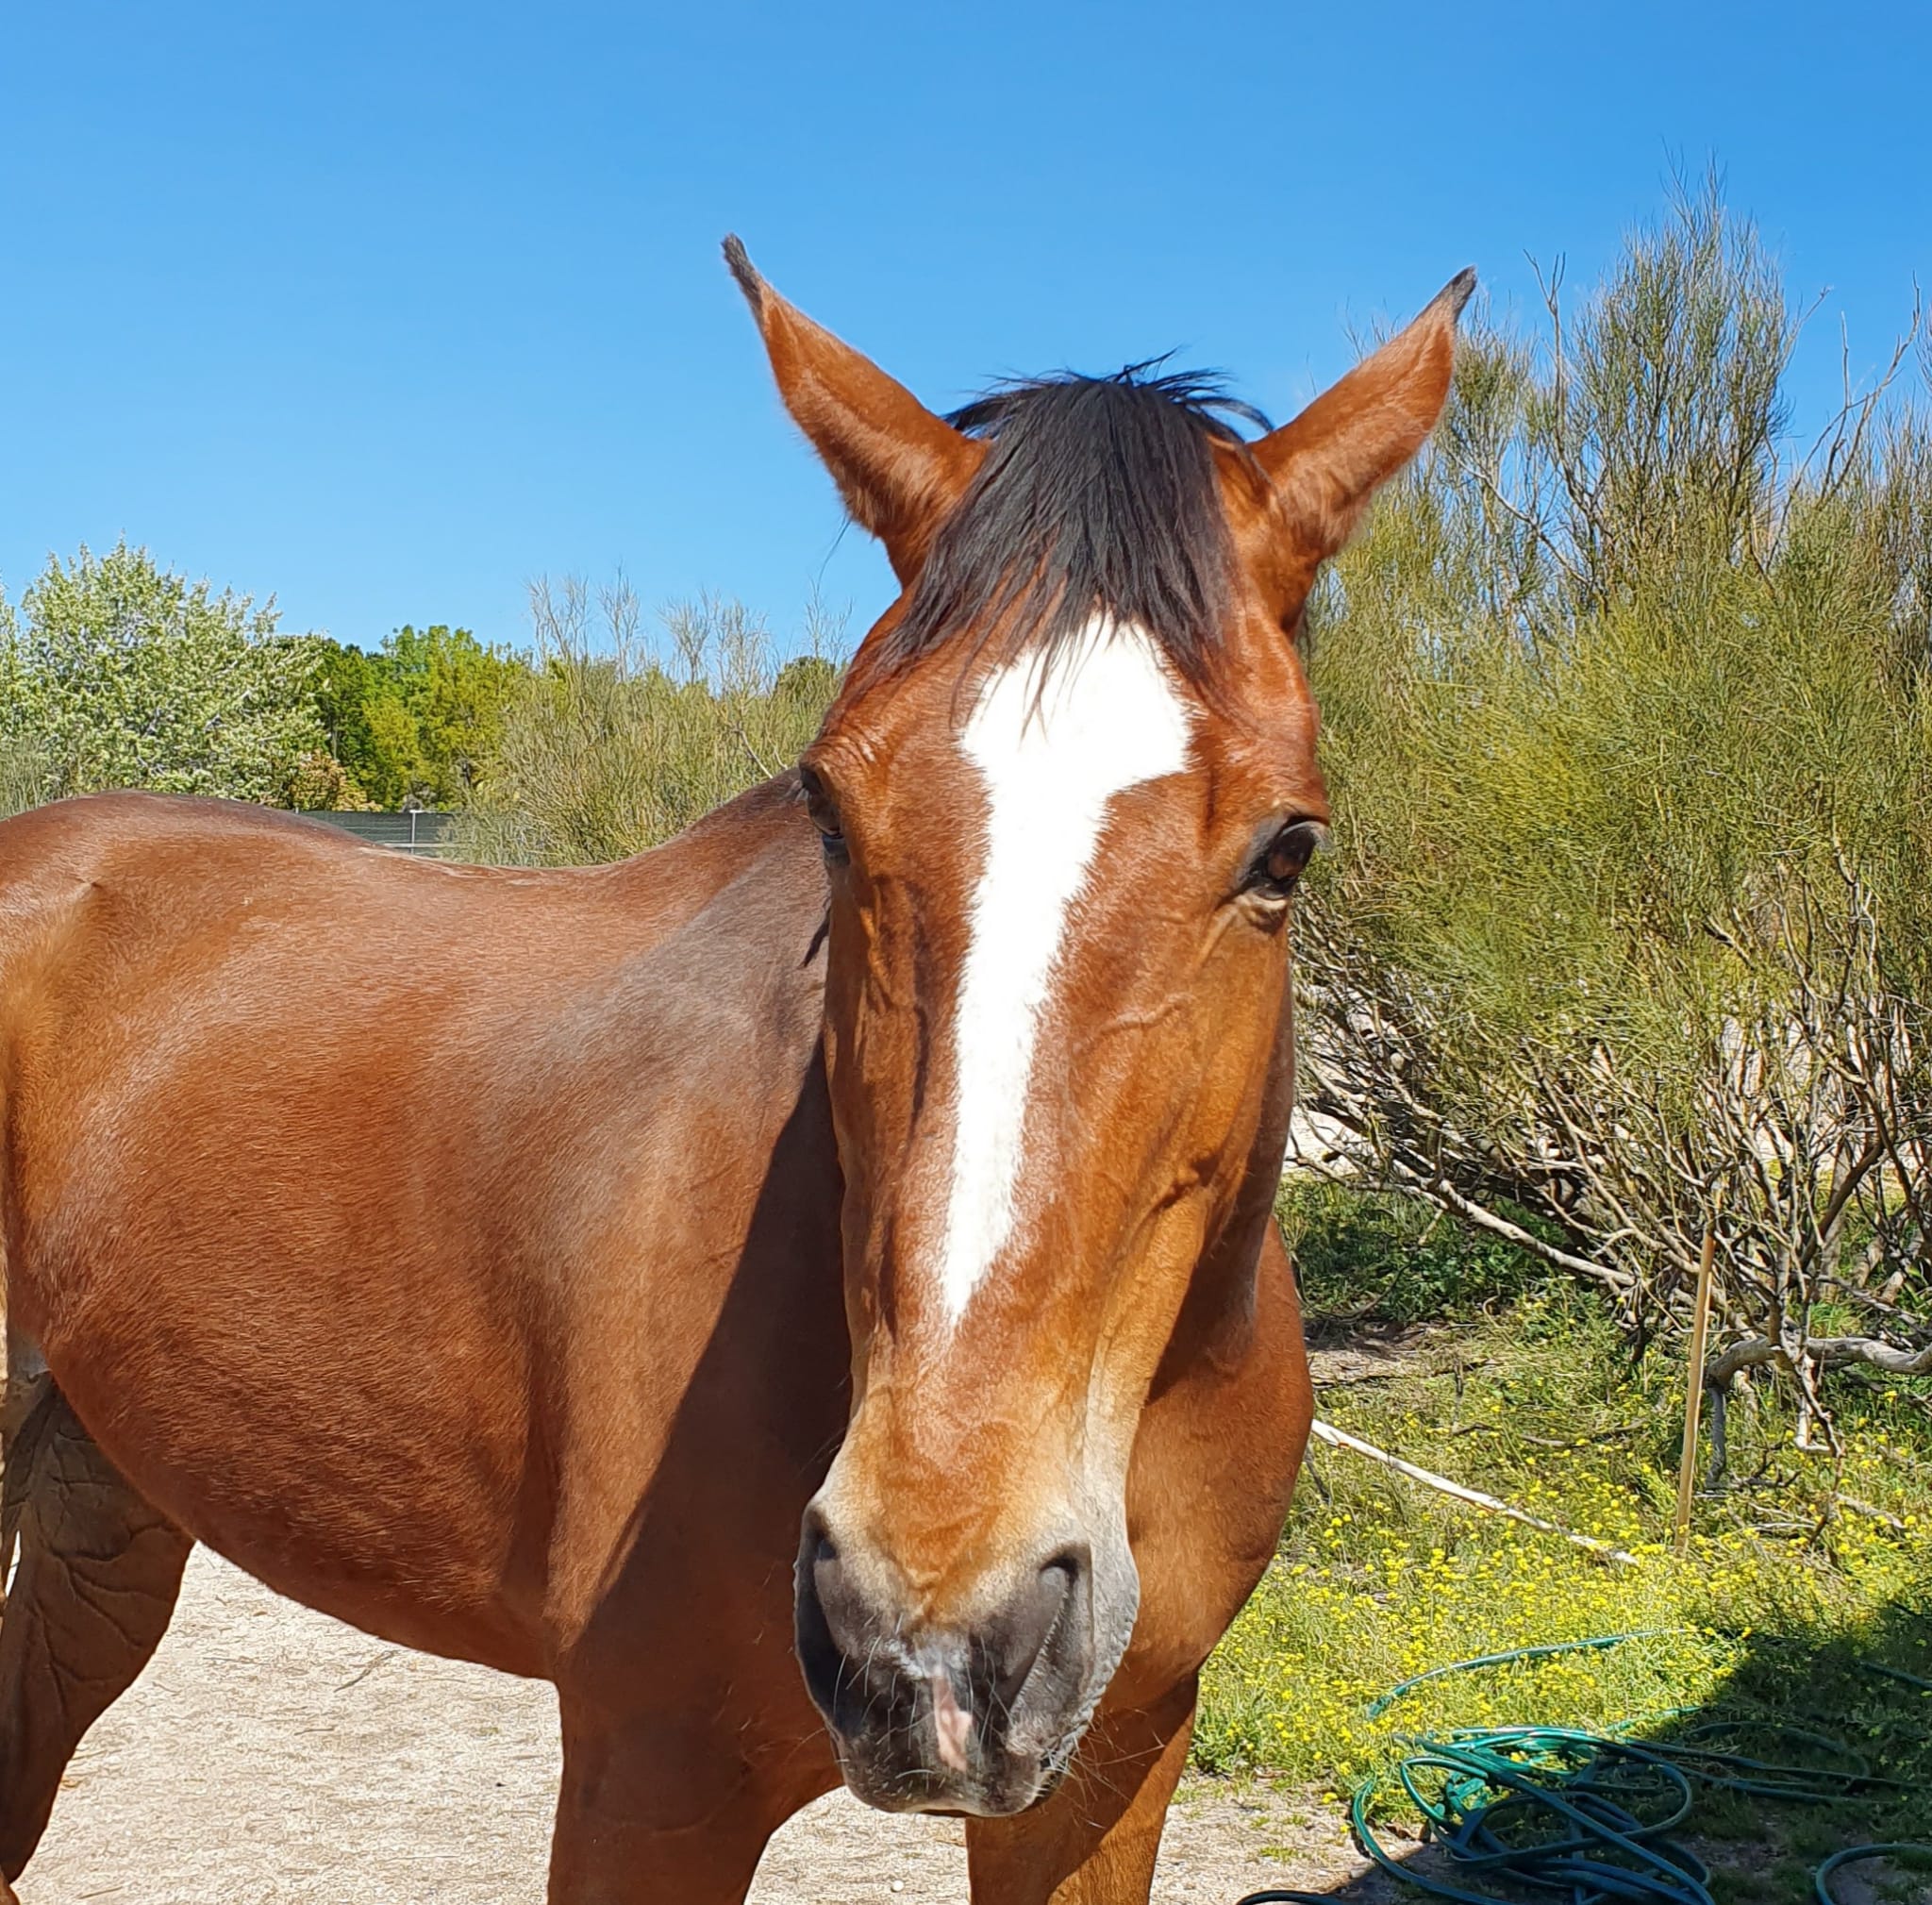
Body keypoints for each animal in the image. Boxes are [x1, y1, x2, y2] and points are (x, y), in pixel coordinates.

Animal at [0, 241, 1460, 1900]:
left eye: (1287, 848)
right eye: (829, 809)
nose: (930, 1624)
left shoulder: (1108, 1770)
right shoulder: (652, 1782)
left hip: (102, 1513)